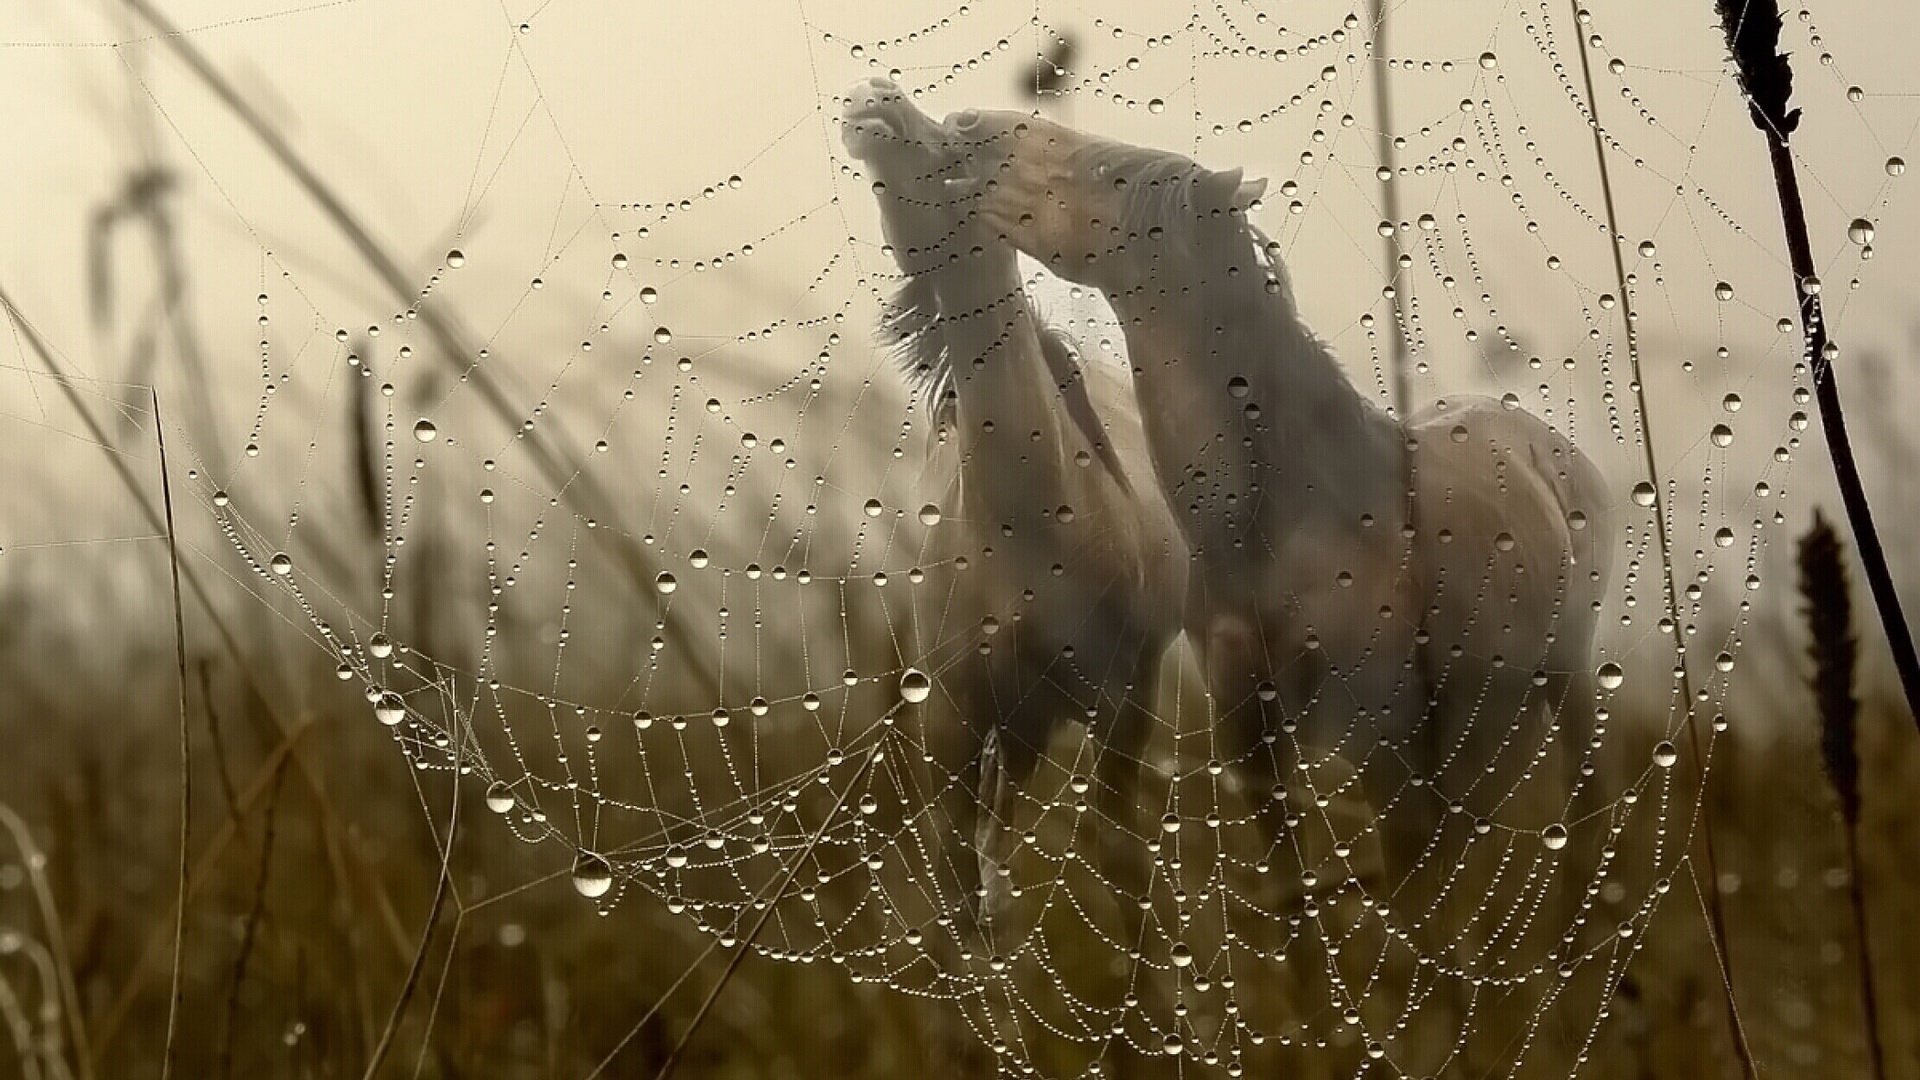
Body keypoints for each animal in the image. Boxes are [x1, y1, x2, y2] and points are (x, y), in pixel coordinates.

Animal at [938, 107, 1616, 1075]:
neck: (1289, 517)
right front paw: (1329, 1034)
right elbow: (1297, 905)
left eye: (1107, 170)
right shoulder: (1248, 727)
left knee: (1577, 833)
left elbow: (1415, 915)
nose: (968, 129)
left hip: (1568, 686)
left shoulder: (1388, 743)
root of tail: (1546, 443)